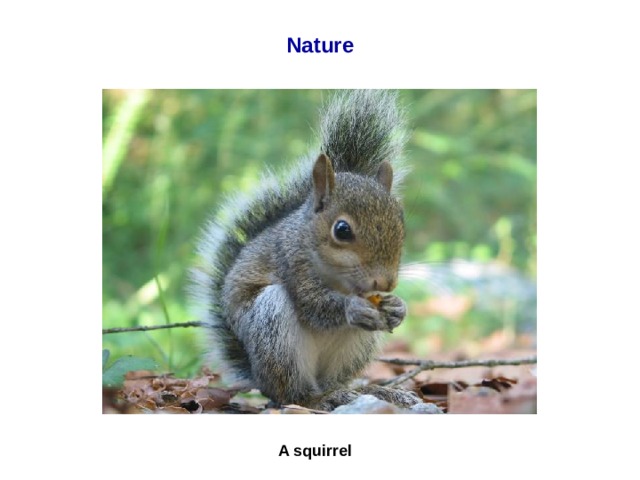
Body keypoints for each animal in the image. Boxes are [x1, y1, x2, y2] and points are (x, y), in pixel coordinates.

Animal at [191, 90, 421, 411]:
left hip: (356, 347)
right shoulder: (291, 261)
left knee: (335, 380)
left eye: (400, 222)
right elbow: (313, 304)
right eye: (342, 230)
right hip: (273, 328)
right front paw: (352, 308)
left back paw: (371, 392)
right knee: (295, 395)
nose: (386, 283)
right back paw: (322, 399)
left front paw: (398, 307)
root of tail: (260, 379)